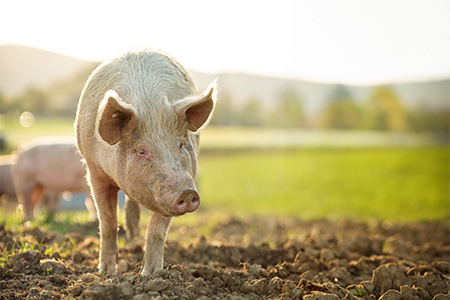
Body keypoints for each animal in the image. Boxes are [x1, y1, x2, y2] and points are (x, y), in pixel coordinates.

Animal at [74, 48, 217, 276]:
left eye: (181, 144)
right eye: (142, 151)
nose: (187, 193)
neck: (150, 106)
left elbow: (157, 230)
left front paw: (151, 274)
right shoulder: (94, 170)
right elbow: (107, 221)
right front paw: (106, 273)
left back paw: (134, 234)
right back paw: (130, 235)